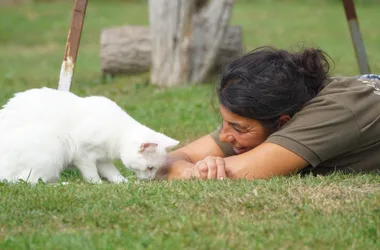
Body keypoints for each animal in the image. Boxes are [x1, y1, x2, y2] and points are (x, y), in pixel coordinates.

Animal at [0, 87, 180, 184]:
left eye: (155, 169)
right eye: (150, 168)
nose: (151, 179)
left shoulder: (103, 160)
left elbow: (112, 173)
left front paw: (122, 182)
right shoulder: (83, 154)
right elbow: (91, 174)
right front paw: (98, 184)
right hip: (52, 148)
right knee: (30, 181)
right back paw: (64, 184)